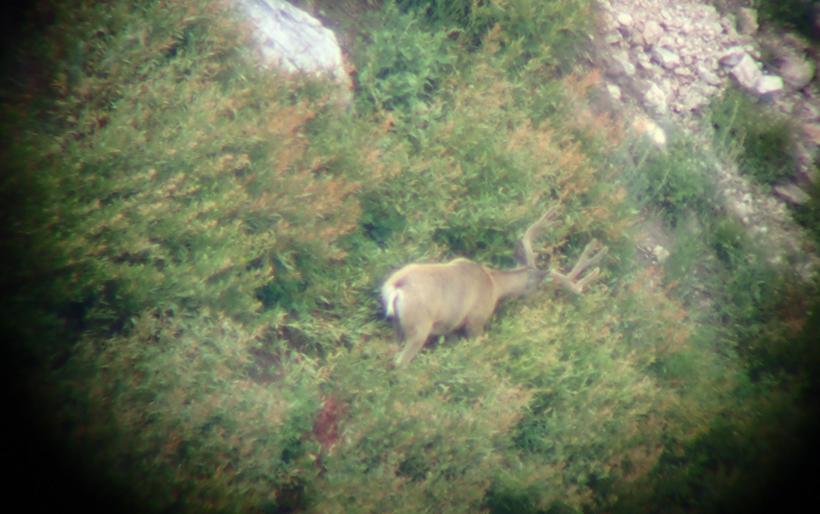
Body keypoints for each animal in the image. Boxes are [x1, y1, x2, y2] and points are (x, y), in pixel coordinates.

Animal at [381, 207, 608, 367]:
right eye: (539, 288)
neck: (493, 284)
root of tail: (397, 285)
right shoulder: (475, 321)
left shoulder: (453, 328)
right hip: (419, 325)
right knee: (400, 362)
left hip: (398, 326)